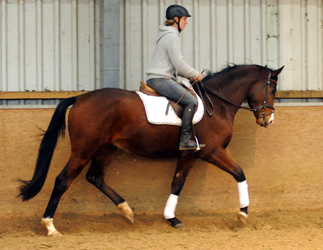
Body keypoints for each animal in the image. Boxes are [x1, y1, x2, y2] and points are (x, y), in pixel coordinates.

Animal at [18, 64, 284, 236]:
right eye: (272, 90)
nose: (268, 120)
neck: (216, 105)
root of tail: (80, 99)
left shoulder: (189, 155)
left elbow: (177, 184)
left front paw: (172, 218)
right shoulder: (212, 152)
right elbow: (239, 173)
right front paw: (243, 213)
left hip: (107, 148)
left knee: (95, 177)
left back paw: (126, 211)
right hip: (84, 150)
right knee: (63, 180)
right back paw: (50, 226)